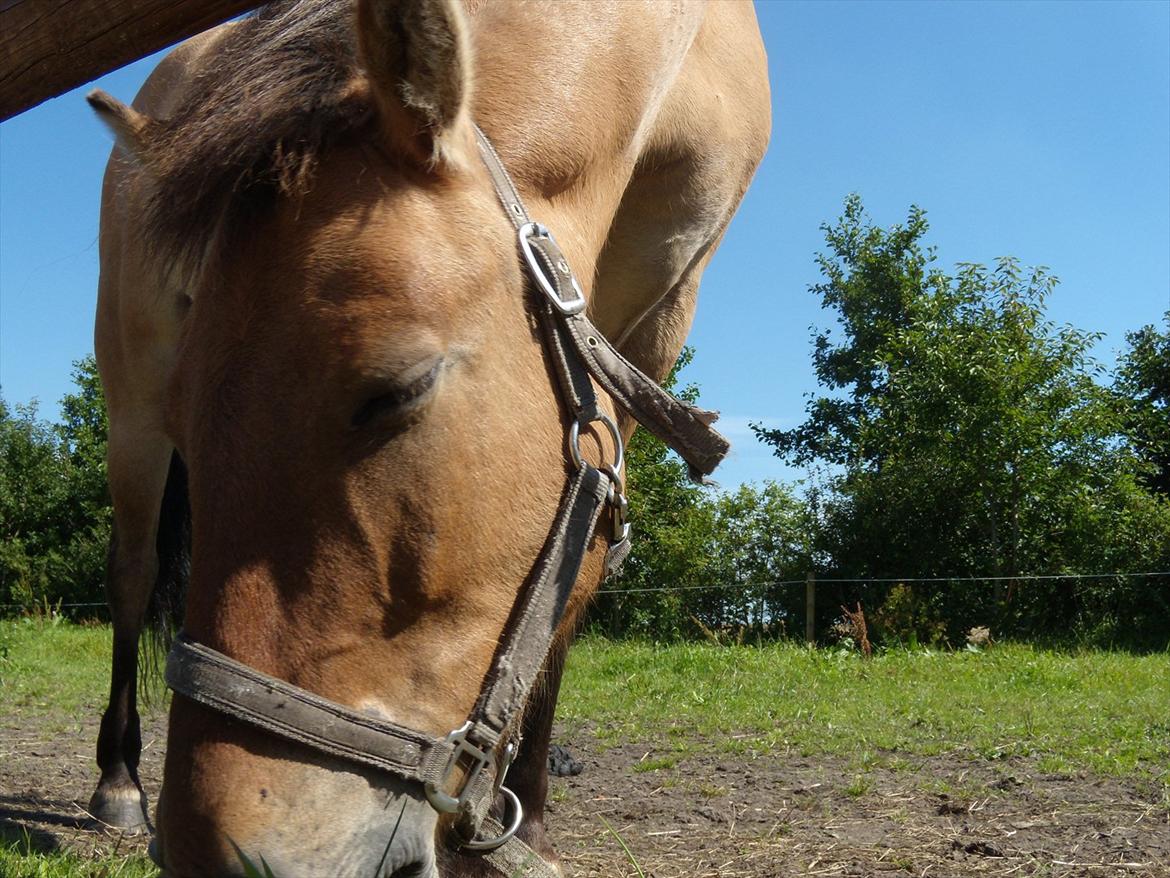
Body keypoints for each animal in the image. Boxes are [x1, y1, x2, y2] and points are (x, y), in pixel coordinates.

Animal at [86, 1, 772, 875]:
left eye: (398, 389)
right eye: (188, 415)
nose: (213, 853)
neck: (676, 62)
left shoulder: (654, 320)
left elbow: (582, 559)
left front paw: (526, 822)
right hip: (130, 394)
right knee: (133, 573)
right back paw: (116, 782)